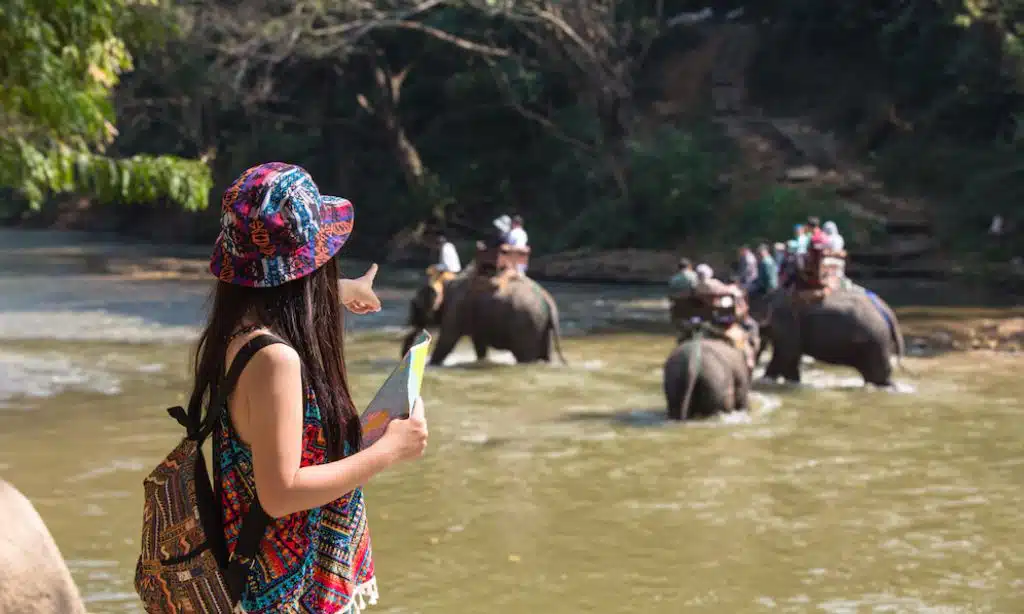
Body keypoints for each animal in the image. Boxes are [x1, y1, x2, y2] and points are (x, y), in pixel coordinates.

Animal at [401, 270, 567, 365]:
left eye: (414, 305)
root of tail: (549, 301)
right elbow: (479, 344)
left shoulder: (455, 308)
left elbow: (447, 340)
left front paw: (431, 365)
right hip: (542, 325)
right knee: (545, 355)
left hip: (527, 324)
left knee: (525, 356)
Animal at [761, 287, 905, 385]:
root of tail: (887, 311)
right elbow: (790, 357)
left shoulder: (786, 322)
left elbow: (786, 354)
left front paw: (766, 381)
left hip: (876, 339)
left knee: (878, 375)